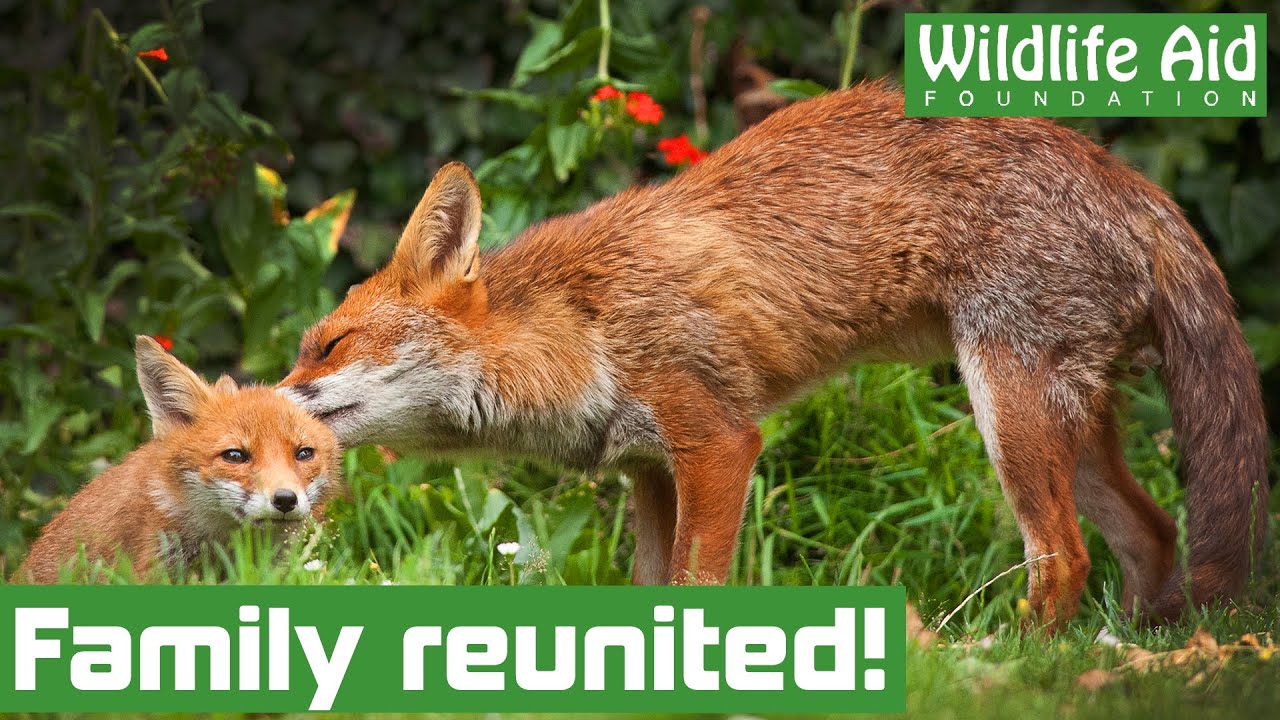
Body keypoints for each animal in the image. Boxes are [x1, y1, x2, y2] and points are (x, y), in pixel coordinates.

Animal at [279, 81, 1269, 626]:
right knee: (1152, 531)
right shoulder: (651, 470)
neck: (582, 324)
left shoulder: (718, 441)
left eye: (326, 344)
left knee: (1063, 557)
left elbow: (698, 586)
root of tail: (1130, 179)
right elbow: (652, 593)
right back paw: (1106, 657)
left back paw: (1005, 655)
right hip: (1071, 430)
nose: (261, 407)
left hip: (1009, 410)